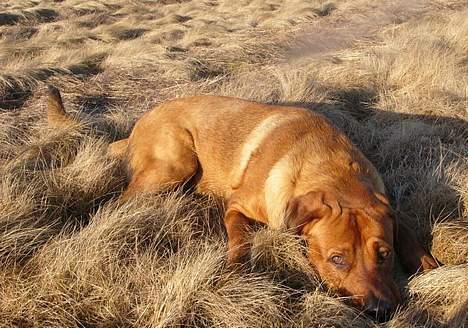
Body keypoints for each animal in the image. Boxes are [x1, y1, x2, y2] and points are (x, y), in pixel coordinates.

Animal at [47, 87, 438, 320]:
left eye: (384, 254)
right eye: (337, 259)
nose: (380, 310)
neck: (328, 166)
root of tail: (137, 126)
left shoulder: (384, 201)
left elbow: (406, 228)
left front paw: (429, 264)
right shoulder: (238, 206)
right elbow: (240, 238)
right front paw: (236, 268)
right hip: (176, 162)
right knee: (122, 201)